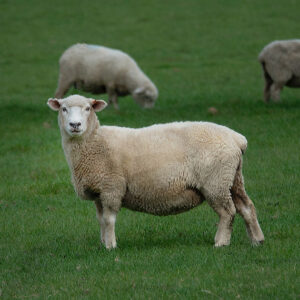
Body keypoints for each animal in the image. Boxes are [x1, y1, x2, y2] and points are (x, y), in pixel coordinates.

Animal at [47, 95, 264, 250]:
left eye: (88, 108)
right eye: (64, 108)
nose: (75, 125)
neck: (95, 142)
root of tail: (237, 139)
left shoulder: (112, 187)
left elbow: (109, 219)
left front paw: (111, 246)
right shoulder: (99, 191)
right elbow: (101, 220)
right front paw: (103, 243)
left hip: (215, 181)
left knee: (228, 212)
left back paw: (221, 242)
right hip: (233, 178)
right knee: (246, 207)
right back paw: (257, 240)